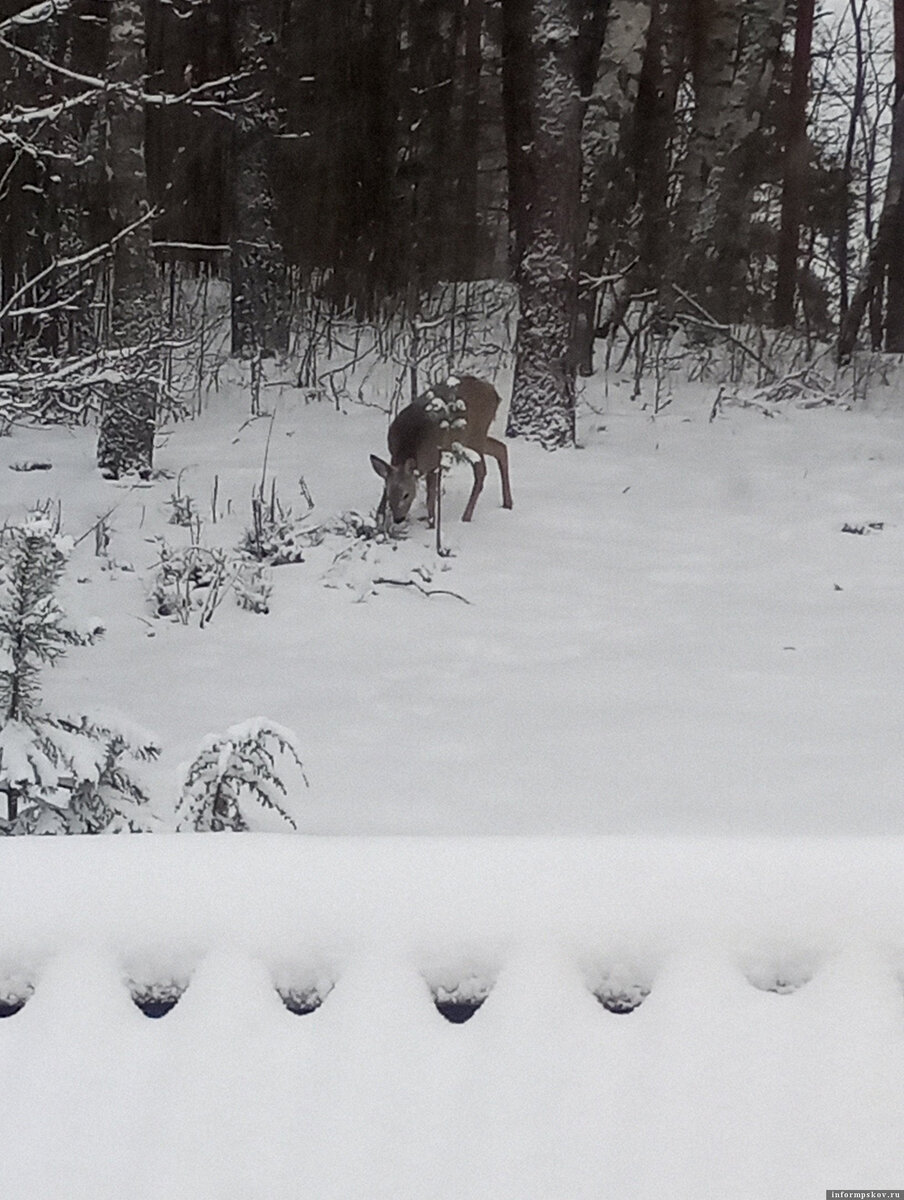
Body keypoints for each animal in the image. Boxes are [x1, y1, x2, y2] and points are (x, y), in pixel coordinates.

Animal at [367, 374, 511, 525]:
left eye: (406, 495)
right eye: (390, 495)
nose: (398, 519)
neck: (411, 441)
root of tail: (495, 394)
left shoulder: (433, 461)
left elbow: (430, 498)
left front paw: (432, 523)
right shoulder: (392, 455)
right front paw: (378, 519)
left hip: (475, 436)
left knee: (481, 471)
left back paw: (466, 517)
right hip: (469, 441)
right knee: (501, 448)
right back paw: (507, 503)